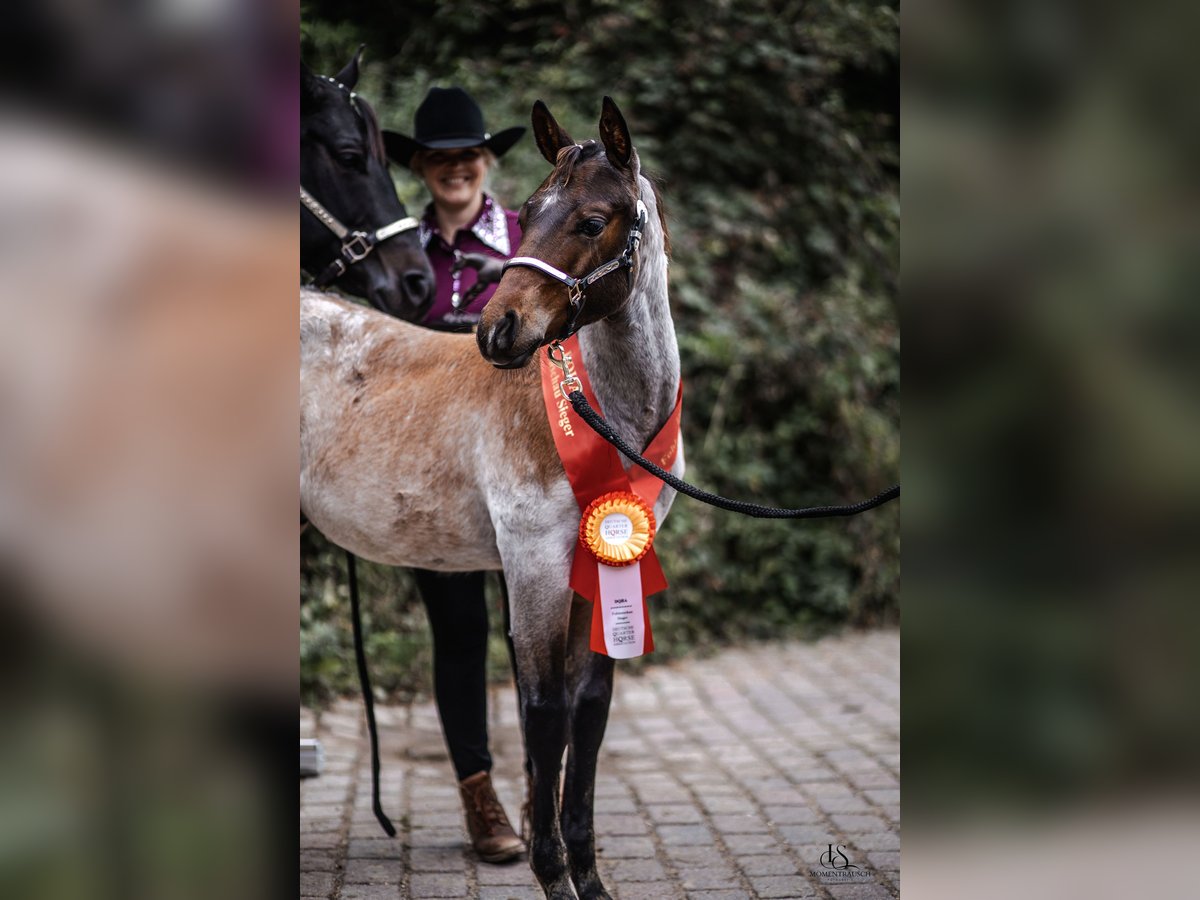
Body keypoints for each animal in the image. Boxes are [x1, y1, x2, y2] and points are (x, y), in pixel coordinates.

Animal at [300, 97, 681, 900]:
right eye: (529, 210)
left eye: (592, 220)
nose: (497, 331)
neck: (600, 411)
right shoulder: (534, 564)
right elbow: (542, 712)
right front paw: (553, 874)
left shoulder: (603, 568)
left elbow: (587, 711)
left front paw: (588, 876)